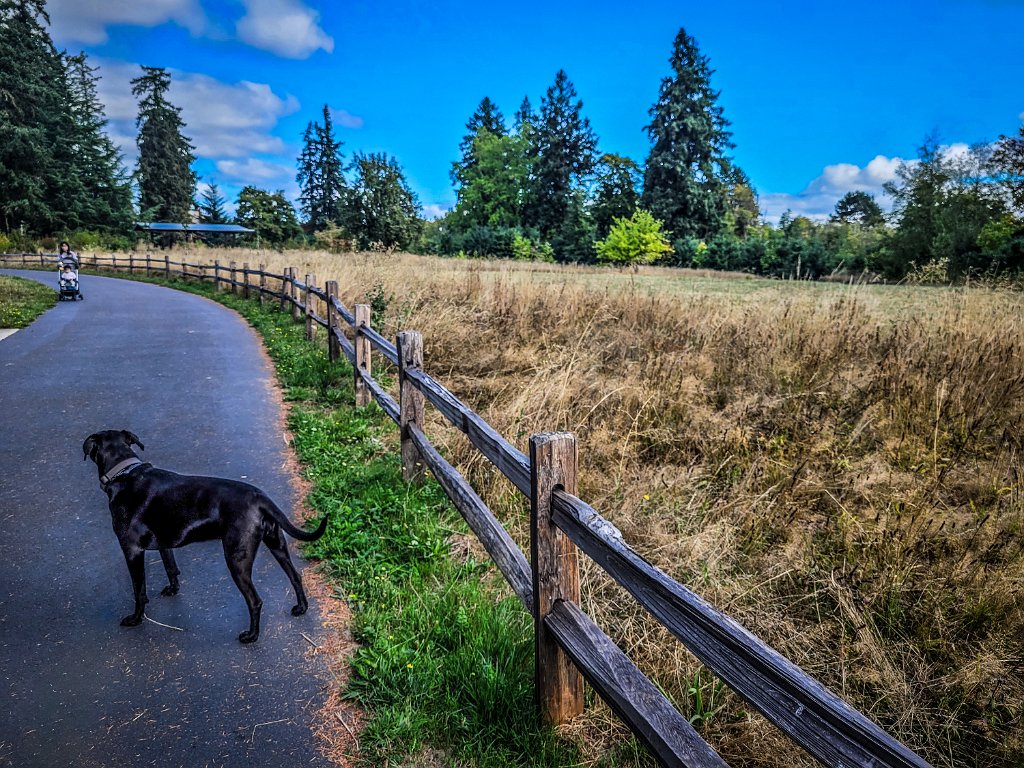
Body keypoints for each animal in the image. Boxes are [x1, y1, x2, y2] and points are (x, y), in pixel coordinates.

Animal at [87, 434, 331, 643]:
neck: (125, 471)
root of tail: (261, 498)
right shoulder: (165, 544)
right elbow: (171, 568)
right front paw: (173, 589)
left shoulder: (132, 551)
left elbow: (139, 591)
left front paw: (135, 619)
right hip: (277, 544)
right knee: (295, 576)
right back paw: (301, 608)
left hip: (237, 560)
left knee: (255, 601)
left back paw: (251, 636)